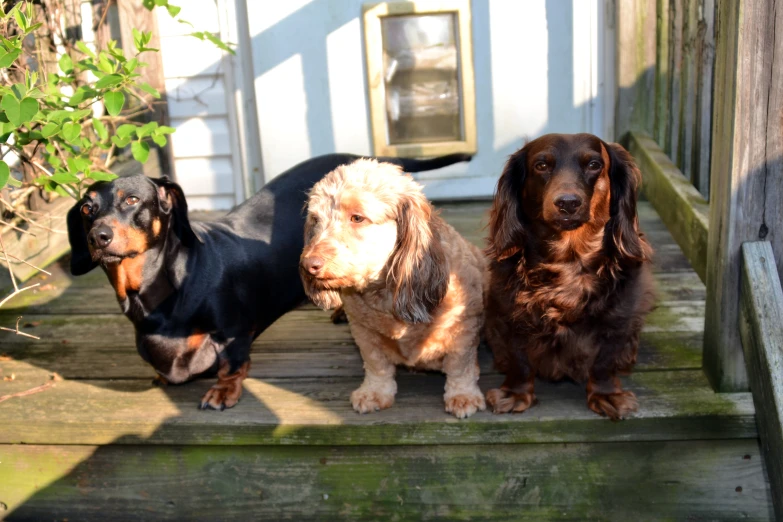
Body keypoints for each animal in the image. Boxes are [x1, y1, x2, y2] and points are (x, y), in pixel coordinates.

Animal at [302, 158, 490, 418]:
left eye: (357, 218)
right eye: (316, 220)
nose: (308, 265)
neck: (385, 293)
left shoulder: (465, 329)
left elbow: (459, 366)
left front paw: (463, 396)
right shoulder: (363, 331)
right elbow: (376, 363)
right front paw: (374, 392)